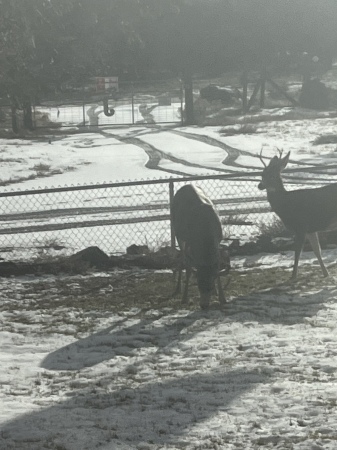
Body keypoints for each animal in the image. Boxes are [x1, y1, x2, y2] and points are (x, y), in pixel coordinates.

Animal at [258, 150, 336, 278]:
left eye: (273, 175)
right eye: (262, 174)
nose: (260, 186)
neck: (286, 205)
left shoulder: (301, 226)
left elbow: (297, 251)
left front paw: (293, 276)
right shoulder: (310, 229)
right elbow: (317, 250)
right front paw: (326, 273)